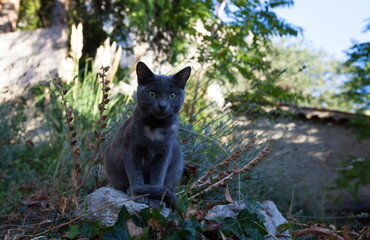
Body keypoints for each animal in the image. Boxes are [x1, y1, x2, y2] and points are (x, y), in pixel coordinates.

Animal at [104, 61, 191, 207]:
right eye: (152, 94)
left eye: (172, 95)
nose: (162, 106)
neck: (155, 128)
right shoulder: (131, 149)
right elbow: (135, 174)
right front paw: (138, 194)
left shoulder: (164, 153)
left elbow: (157, 177)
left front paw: (155, 200)